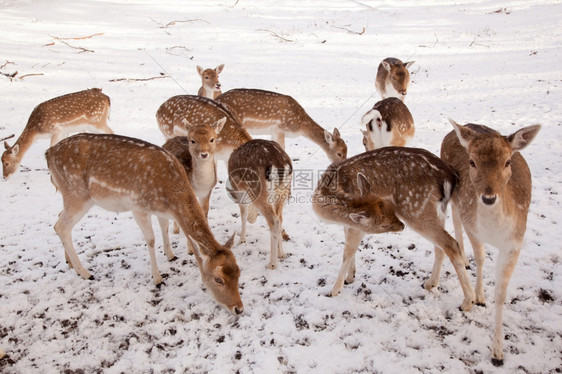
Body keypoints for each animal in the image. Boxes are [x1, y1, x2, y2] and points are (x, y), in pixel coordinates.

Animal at [45, 133, 243, 314]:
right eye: (218, 279)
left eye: (238, 272)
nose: (238, 308)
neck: (169, 194)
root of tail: (48, 153)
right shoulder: (138, 207)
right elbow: (151, 239)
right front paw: (157, 278)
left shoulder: (161, 211)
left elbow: (164, 227)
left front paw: (170, 255)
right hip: (77, 194)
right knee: (60, 226)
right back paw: (85, 272)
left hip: (71, 196)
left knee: (60, 219)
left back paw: (70, 262)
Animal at [214, 88, 346, 164]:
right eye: (339, 153)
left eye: (347, 150)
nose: (342, 164)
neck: (300, 125)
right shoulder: (280, 129)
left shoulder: (274, 132)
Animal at [225, 139, 294, 270]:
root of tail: (280, 165)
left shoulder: (242, 192)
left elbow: (243, 213)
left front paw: (241, 240)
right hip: (282, 191)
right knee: (280, 218)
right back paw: (281, 254)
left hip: (258, 189)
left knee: (274, 221)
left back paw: (271, 264)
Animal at [312, 148, 474, 312]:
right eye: (384, 224)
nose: (401, 226)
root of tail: (449, 176)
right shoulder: (349, 225)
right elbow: (349, 249)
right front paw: (350, 277)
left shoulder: (357, 228)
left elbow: (347, 252)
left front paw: (334, 290)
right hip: (436, 211)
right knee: (440, 247)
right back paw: (430, 283)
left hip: (415, 209)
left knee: (451, 244)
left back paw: (467, 302)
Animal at [438, 119, 540, 366]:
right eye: (472, 162)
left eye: (508, 161)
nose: (488, 197)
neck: (495, 231)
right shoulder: (473, 227)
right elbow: (482, 258)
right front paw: (479, 298)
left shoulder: (515, 241)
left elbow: (501, 293)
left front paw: (498, 353)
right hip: (453, 197)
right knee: (456, 221)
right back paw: (465, 260)